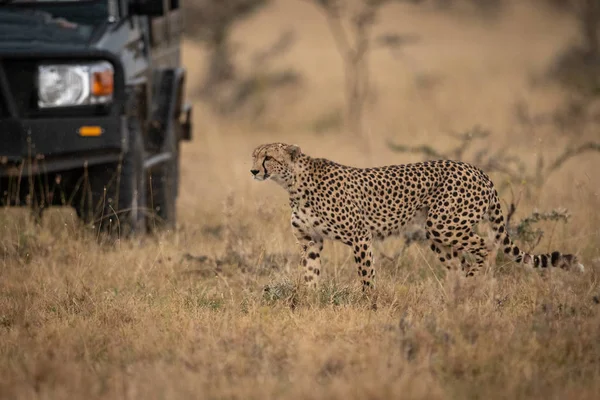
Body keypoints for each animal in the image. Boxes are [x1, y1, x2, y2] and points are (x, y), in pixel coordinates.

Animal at [251, 142, 584, 290]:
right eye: (254, 156)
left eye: (268, 157)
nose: (253, 171)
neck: (294, 183)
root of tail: (478, 170)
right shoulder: (311, 242)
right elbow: (309, 276)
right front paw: (308, 303)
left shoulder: (360, 237)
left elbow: (367, 276)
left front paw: (369, 305)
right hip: (436, 233)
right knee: (460, 262)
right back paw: (456, 294)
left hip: (444, 223)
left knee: (485, 247)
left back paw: (472, 284)